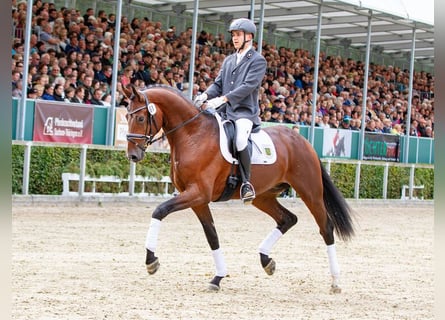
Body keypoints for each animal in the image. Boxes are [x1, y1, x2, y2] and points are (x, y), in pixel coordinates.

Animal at [122, 84, 354, 292]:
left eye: (140, 118)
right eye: (126, 117)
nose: (132, 155)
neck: (193, 135)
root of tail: (302, 140)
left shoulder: (198, 193)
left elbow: (159, 211)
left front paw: (151, 260)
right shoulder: (197, 200)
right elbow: (212, 235)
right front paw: (217, 278)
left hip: (310, 192)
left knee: (326, 228)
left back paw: (335, 281)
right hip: (263, 196)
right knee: (287, 219)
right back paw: (266, 261)